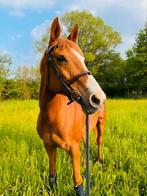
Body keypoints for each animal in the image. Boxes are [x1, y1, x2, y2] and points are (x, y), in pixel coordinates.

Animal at [36, 17, 105, 196]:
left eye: (83, 59)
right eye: (60, 58)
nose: (98, 98)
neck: (52, 117)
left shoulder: (73, 149)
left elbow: (78, 185)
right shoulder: (49, 147)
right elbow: (52, 178)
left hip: (100, 123)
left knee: (99, 141)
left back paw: (99, 161)